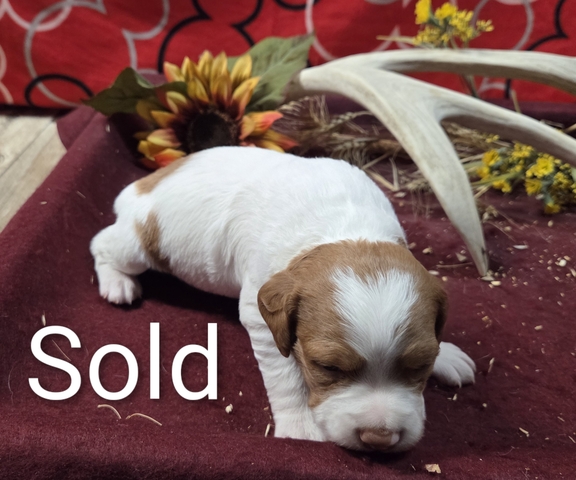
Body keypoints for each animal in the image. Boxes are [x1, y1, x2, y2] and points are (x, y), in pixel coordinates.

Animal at [90, 146, 475, 452]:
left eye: (419, 366)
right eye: (328, 368)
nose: (379, 439)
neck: (348, 229)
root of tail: (141, 185)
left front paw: (447, 354)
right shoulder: (262, 316)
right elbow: (286, 376)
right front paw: (301, 425)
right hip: (139, 245)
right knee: (102, 243)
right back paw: (117, 282)